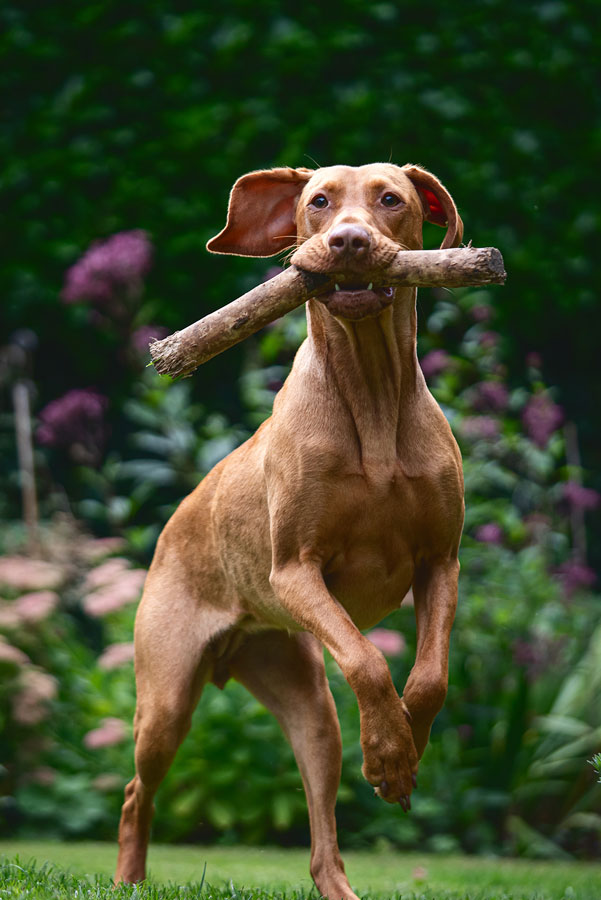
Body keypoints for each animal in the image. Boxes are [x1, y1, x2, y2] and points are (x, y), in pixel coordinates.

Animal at [116, 163, 464, 900]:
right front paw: (391, 757)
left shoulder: (441, 561)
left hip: (308, 704)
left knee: (320, 830)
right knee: (137, 791)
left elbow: (427, 678)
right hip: (165, 695)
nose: (348, 242)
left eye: (390, 199)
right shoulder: (294, 570)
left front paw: (404, 752)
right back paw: (128, 880)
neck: (371, 394)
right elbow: (367, 660)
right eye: (318, 201)